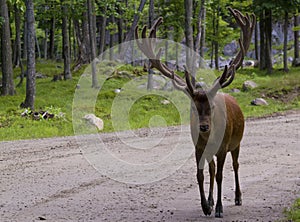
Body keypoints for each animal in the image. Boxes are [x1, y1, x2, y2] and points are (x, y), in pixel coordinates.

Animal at [136, 7, 255, 218]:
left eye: (213, 106)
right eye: (193, 107)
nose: (204, 127)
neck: (210, 137)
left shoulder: (223, 146)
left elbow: (221, 176)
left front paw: (219, 209)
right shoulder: (198, 147)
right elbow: (200, 175)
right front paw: (206, 206)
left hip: (236, 143)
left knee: (235, 166)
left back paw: (238, 198)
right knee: (212, 169)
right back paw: (211, 200)